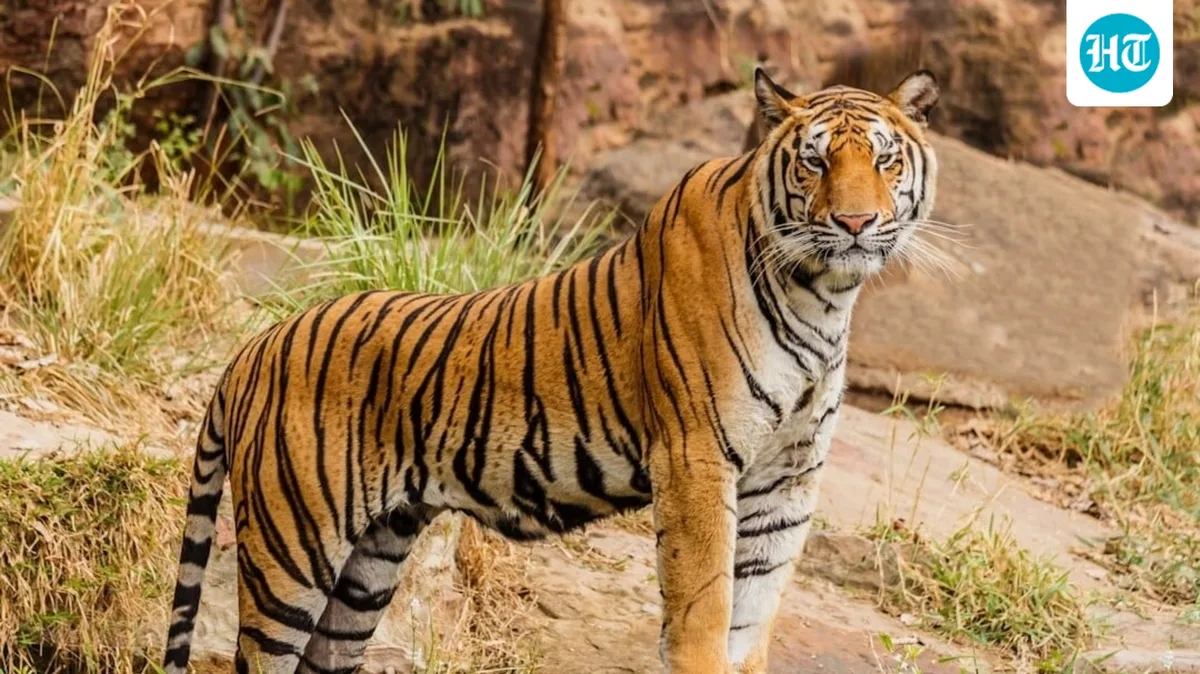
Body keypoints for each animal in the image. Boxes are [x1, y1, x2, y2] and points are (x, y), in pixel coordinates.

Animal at [162, 66, 939, 674]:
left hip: (370, 564)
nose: (855, 224)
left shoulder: (788, 479)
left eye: (884, 162)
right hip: (293, 550)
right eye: (815, 162)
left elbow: (752, 618)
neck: (823, 295)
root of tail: (253, 348)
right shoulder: (696, 459)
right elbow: (704, 610)